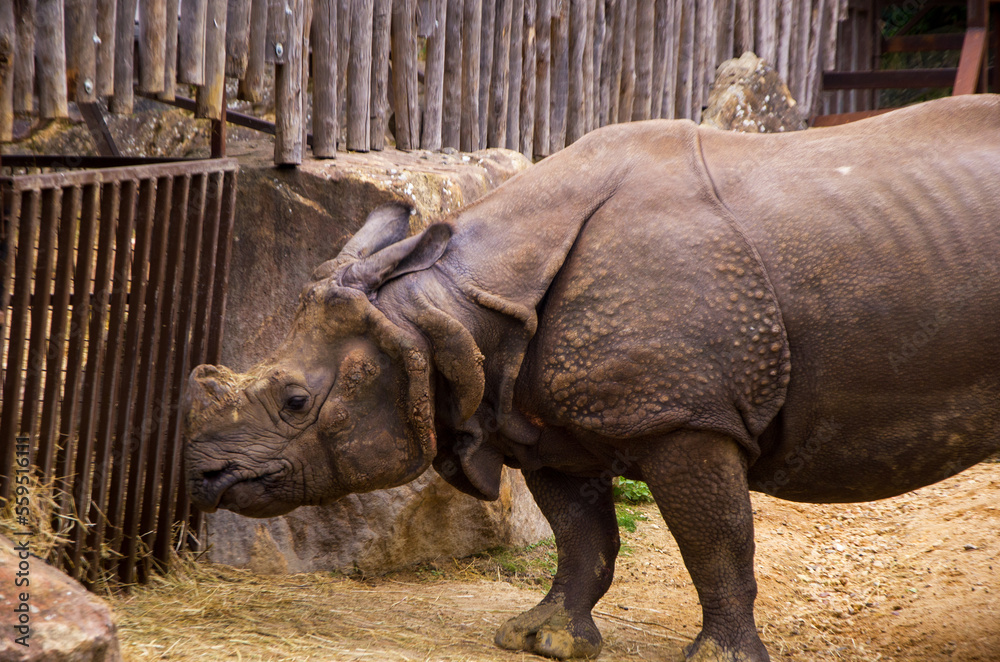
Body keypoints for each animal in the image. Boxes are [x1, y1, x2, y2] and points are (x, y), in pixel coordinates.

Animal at [183, 95, 1000, 662]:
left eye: (295, 401)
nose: (201, 474)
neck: (443, 305)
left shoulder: (684, 417)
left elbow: (718, 541)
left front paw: (719, 658)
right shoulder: (542, 424)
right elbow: (583, 538)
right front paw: (540, 640)